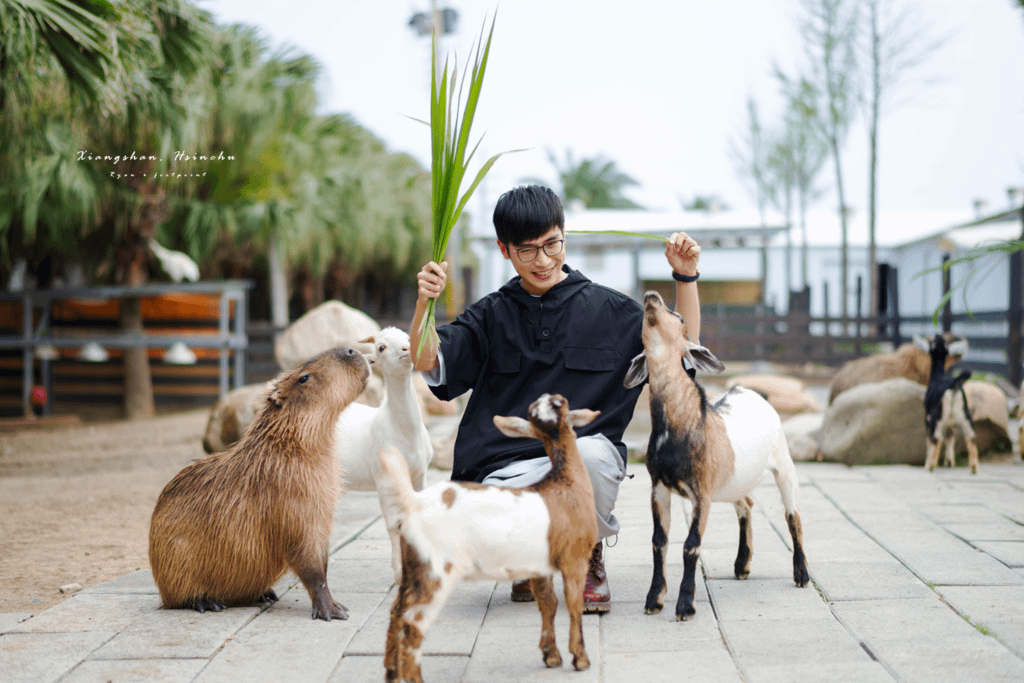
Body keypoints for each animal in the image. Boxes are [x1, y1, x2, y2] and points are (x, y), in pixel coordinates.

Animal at [335, 327, 432, 581]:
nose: (408, 349)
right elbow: (393, 524)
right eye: (381, 347)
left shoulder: (419, 475)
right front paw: (399, 573)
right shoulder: (385, 480)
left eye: (407, 338)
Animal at [376, 393, 598, 679]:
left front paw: (551, 656)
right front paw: (580, 659)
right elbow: (573, 604)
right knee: (413, 624)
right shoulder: (575, 559)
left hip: (413, 566)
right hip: (438, 569)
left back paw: (392, 672)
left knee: (396, 612)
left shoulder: (540, 566)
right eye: (561, 403)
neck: (566, 482)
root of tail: (414, 503)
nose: (553, 396)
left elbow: (548, 603)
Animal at [622, 290, 806, 622]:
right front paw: (654, 600)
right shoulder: (658, 487)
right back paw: (742, 565)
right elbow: (659, 541)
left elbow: (691, 545)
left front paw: (685, 606)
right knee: (746, 504)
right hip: (733, 481)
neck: (682, 421)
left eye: (680, 317)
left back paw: (801, 575)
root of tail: (748, 390)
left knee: (792, 513)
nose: (651, 295)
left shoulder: (702, 492)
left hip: (783, 462)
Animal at [921, 331, 974, 473]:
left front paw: (928, 462)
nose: (938, 334)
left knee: (936, 438)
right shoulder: (950, 422)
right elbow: (951, 435)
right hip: (966, 415)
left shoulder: (927, 417)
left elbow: (929, 440)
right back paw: (974, 468)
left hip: (936, 417)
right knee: (970, 437)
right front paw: (950, 461)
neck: (938, 375)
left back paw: (931, 466)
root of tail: (953, 383)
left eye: (932, 341)